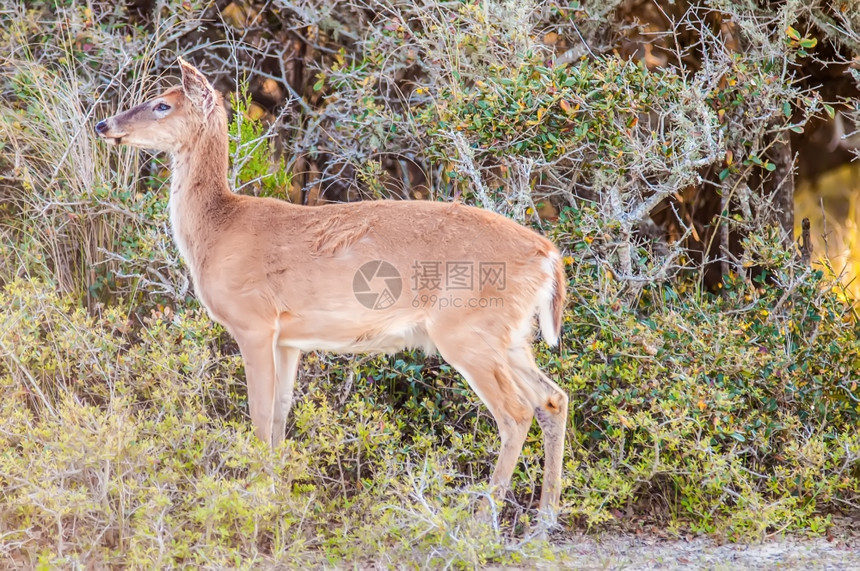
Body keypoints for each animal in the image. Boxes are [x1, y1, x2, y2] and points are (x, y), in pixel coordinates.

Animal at [94, 59, 568, 528]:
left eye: (162, 103)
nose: (103, 124)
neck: (218, 230)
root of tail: (548, 255)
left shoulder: (253, 322)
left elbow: (259, 413)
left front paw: (257, 502)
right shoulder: (287, 339)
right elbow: (280, 412)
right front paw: (278, 492)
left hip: (466, 327)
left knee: (515, 412)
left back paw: (481, 521)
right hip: (510, 333)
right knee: (552, 398)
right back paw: (545, 519)